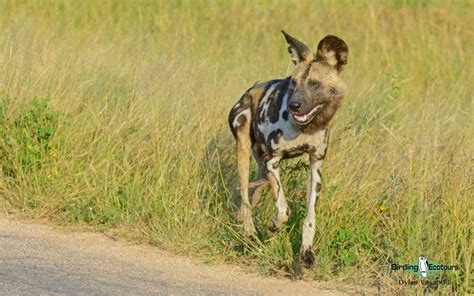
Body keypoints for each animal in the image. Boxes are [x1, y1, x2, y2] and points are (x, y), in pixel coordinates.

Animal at [230, 31, 348, 268]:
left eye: (314, 84)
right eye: (293, 83)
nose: (294, 105)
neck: (306, 127)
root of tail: (250, 90)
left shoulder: (315, 166)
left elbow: (310, 216)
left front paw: (306, 251)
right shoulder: (273, 159)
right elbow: (284, 210)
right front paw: (274, 225)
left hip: (261, 165)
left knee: (254, 194)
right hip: (244, 148)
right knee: (246, 196)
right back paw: (249, 233)